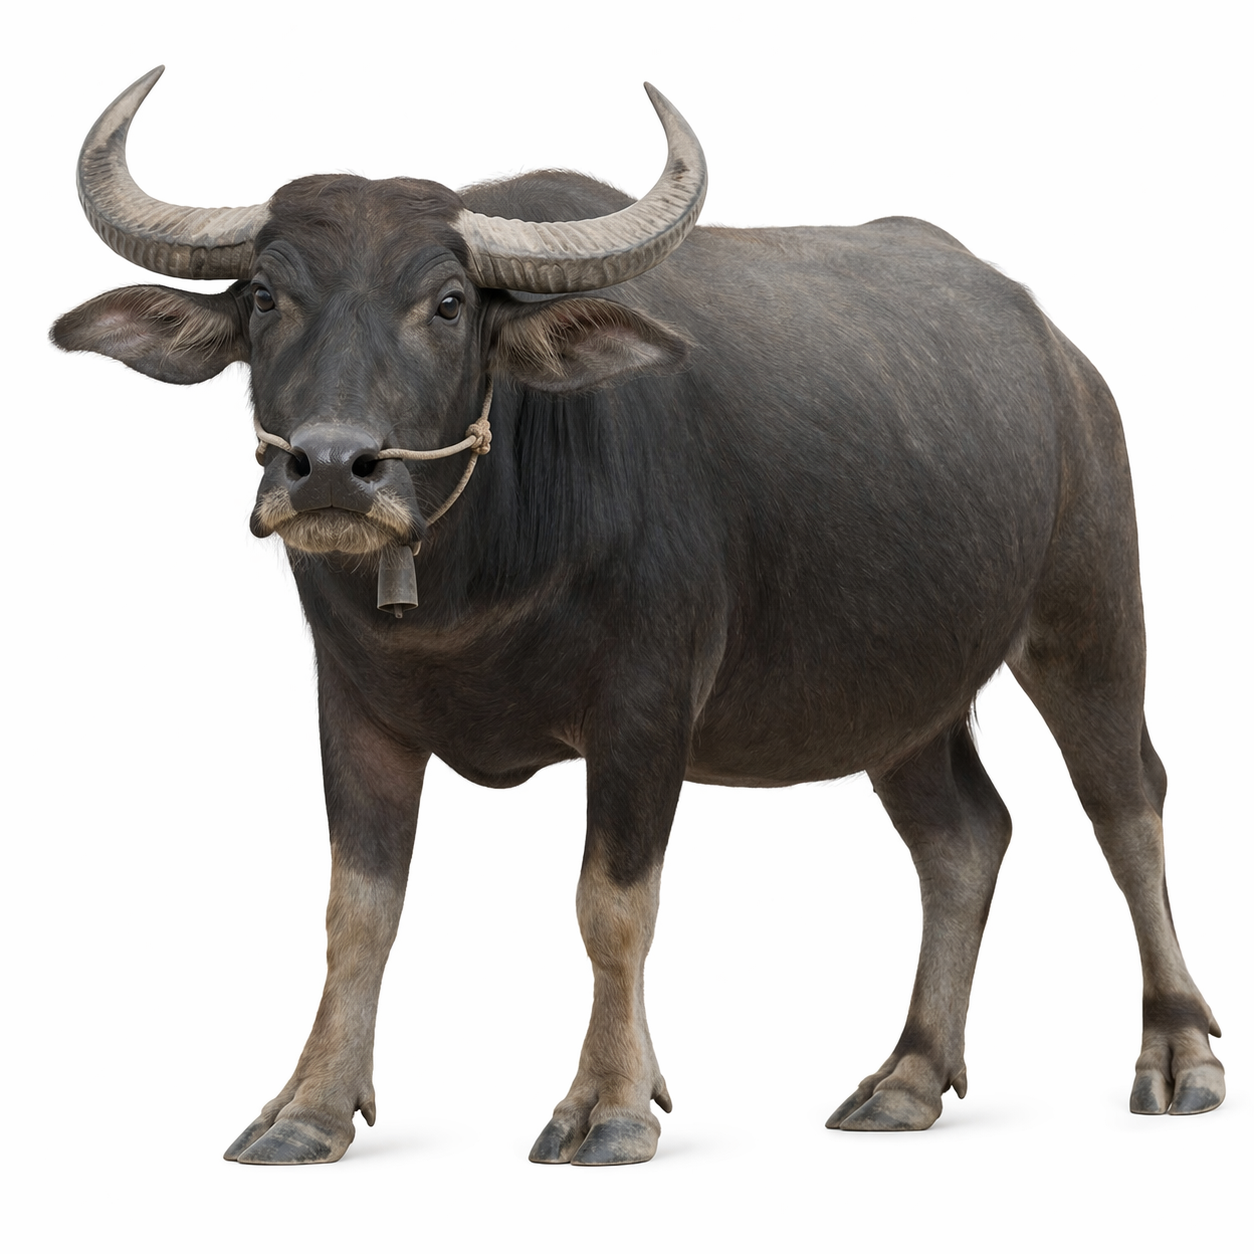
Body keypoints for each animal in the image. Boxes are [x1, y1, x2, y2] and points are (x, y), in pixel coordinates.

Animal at [52, 66, 1223, 1166]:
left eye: (447, 302)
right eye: (264, 298)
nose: (334, 468)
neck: (476, 584)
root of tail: (1064, 360)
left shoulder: (647, 708)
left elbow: (611, 907)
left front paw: (609, 1104)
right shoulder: (355, 709)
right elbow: (358, 912)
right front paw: (308, 1108)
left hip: (1088, 613)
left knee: (1126, 801)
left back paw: (1179, 1052)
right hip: (902, 697)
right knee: (964, 839)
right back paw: (908, 1077)